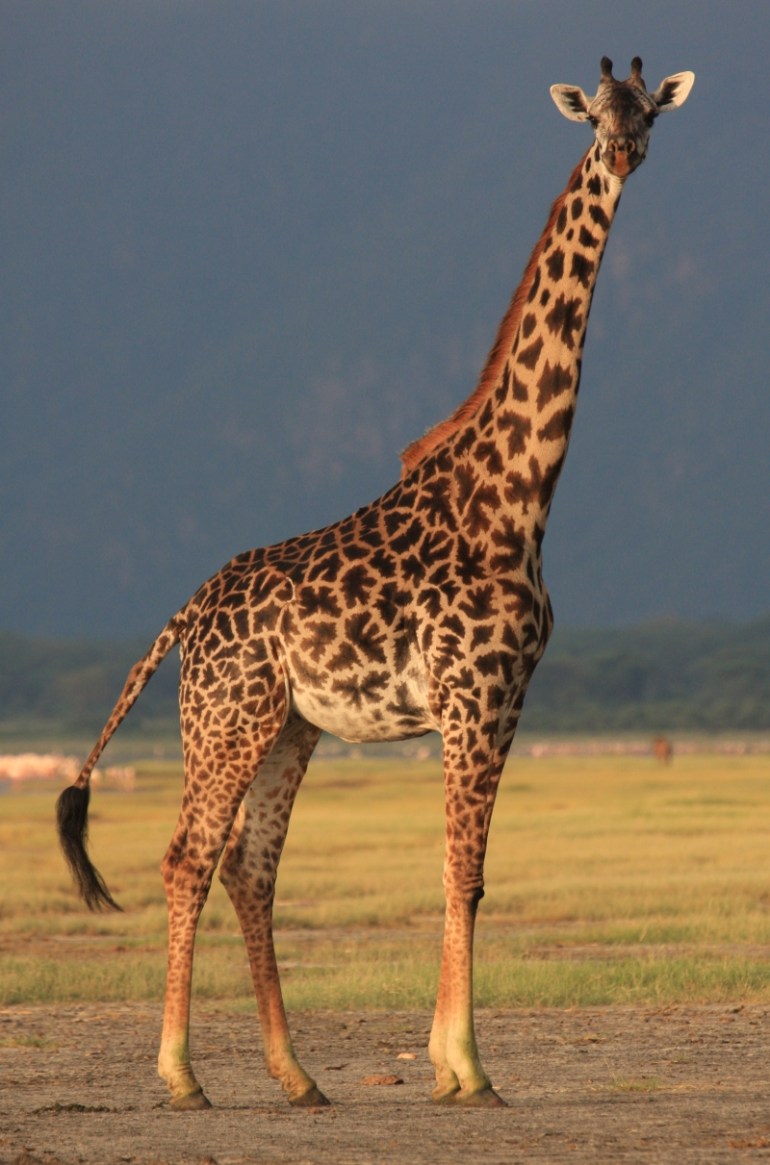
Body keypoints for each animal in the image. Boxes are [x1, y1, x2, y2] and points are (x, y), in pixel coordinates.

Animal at [57, 57, 694, 1111]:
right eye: (594, 112)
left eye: (649, 111)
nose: (622, 151)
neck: (519, 494)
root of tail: (185, 613)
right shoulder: (474, 695)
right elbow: (463, 871)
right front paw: (469, 1069)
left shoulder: (507, 701)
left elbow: (459, 871)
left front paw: (444, 1063)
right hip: (226, 718)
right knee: (188, 856)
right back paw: (182, 1075)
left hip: (289, 724)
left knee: (250, 868)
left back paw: (297, 1075)